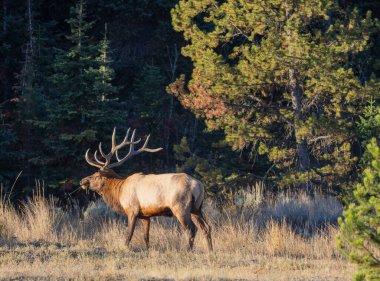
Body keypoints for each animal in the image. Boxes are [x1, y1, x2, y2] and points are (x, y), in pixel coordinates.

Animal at [79, 128, 214, 250]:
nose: (82, 181)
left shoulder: (132, 209)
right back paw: (210, 251)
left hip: (181, 207)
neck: (119, 192)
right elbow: (146, 236)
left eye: (96, 175)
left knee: (192, 229)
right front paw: (148, 250)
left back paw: (188, 250)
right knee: (207, 227)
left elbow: (129, 235)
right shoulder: (145, 215)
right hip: (197, 208)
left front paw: (125, 249)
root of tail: (199, 185)